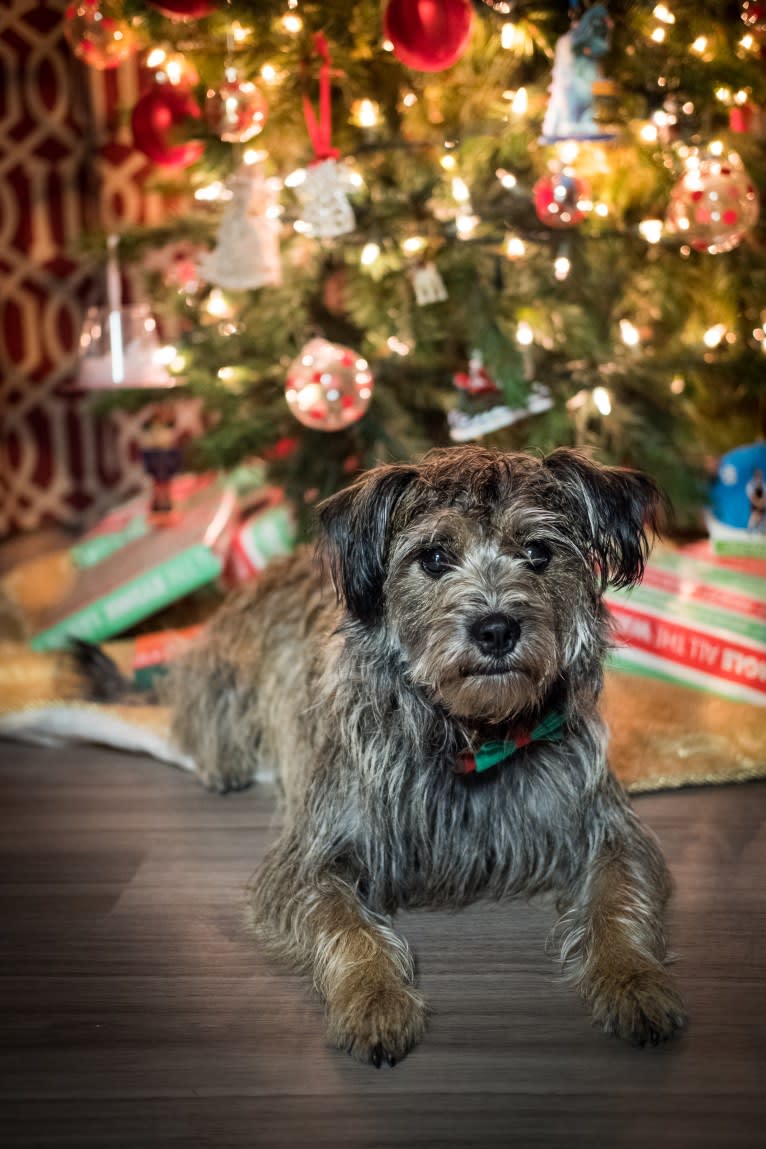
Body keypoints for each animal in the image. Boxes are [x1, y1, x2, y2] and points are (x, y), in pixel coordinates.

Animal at [168, 443, 689, 1061]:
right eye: (435, 557)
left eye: (539, 551)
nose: (496, 628)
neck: (471, 735)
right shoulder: (311, 859)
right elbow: (347, 925)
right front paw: (374, 1000)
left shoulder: (609, 831)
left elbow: (617, 901)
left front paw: (635, 981)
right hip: (223, 687)